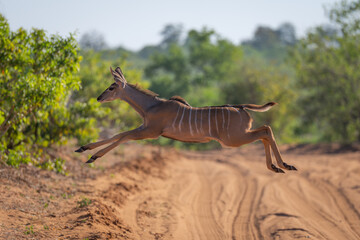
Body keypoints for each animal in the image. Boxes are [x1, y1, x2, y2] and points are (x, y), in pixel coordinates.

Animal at [74, 66, 296, 173]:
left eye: (112, 87)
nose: (98, 98)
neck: (151, 106)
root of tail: (242, 108)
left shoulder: (151, 132)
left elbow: (123, 136)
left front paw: (93, 156)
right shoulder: (144, 128)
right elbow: (120, 134)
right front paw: (83, 148)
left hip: (233, 139)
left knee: (266, 130)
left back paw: (284, 165)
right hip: (238, 136)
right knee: (265, 132)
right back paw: (277, 167)